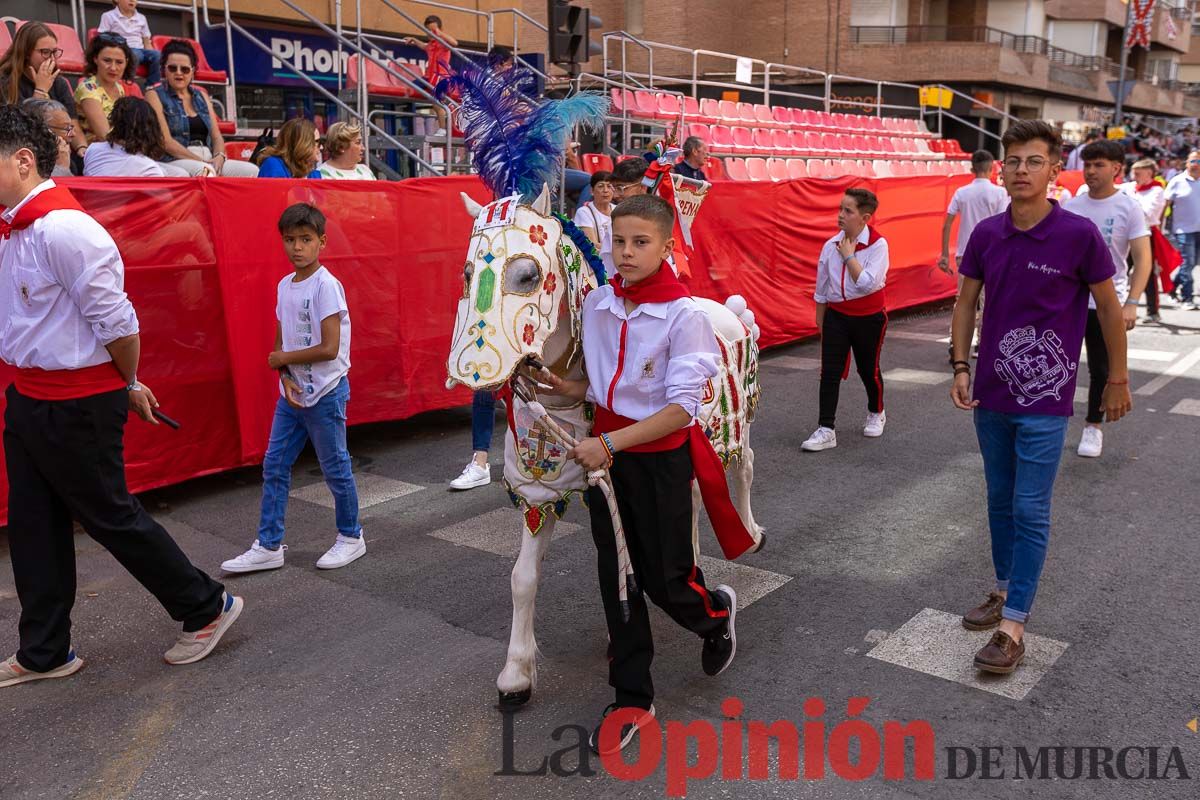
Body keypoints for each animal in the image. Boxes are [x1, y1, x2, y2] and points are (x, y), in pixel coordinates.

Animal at [446, 185, 763, 705]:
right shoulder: (543, 494)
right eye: (467, 274)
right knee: (695, 500)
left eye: (527, 275)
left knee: (745, 467)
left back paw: (752, 534)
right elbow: (524, 578)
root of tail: (727, 309)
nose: (471, 373)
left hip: (734, 429)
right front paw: (517, 674)